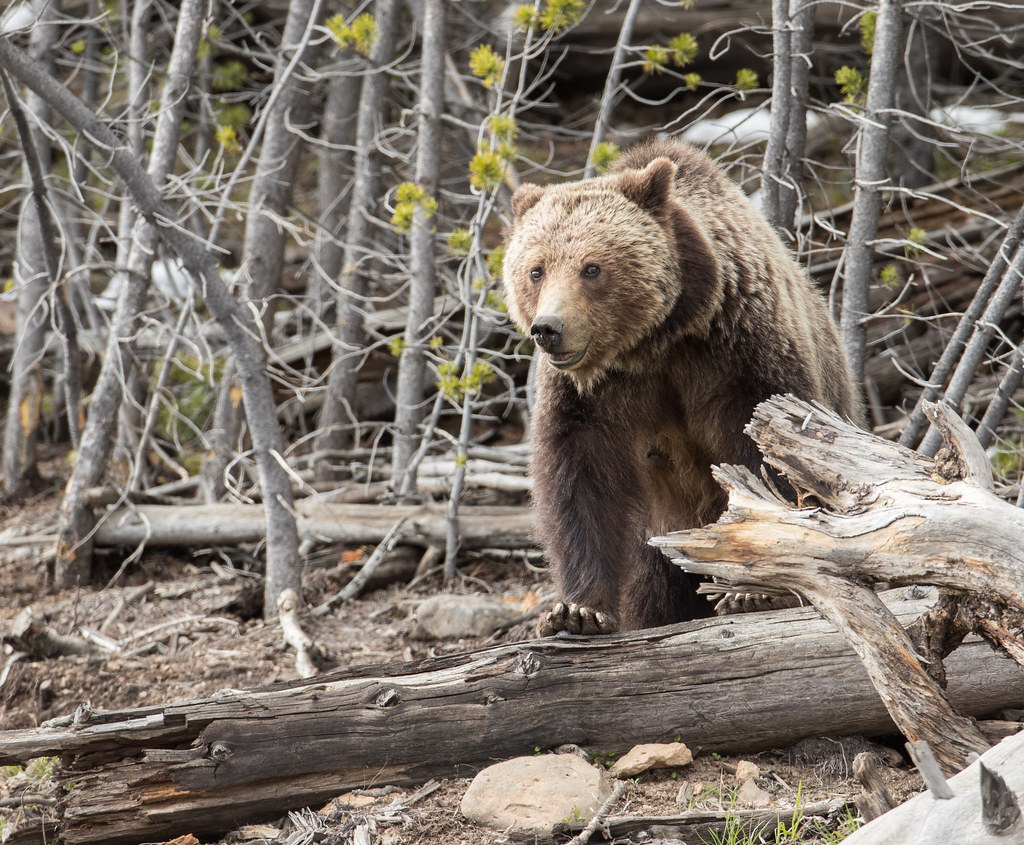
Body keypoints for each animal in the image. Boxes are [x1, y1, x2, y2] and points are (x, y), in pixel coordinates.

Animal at [502, 137, 864, 636]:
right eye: (536, 270)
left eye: (591, 268)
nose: (548, 329)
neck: (654, 341)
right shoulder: (590, 395)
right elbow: (579, 480)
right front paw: (578, 611)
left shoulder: (738, 352)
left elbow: (769, 456)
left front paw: (753, 591)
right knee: (654, 587)